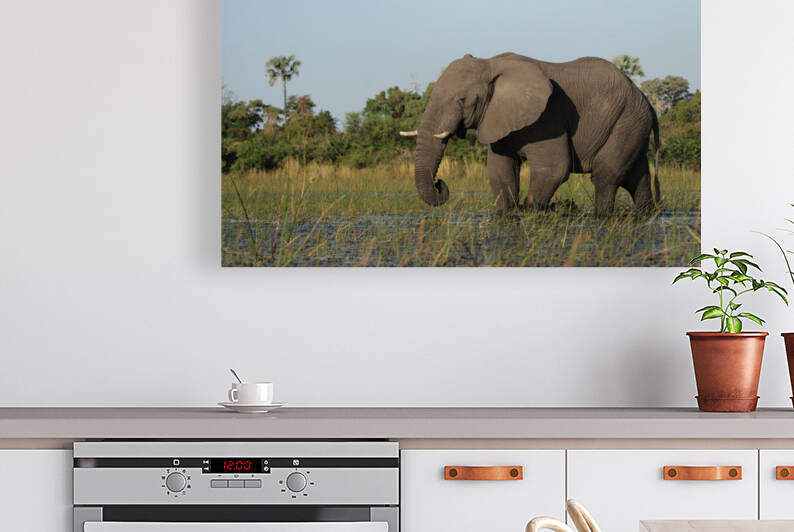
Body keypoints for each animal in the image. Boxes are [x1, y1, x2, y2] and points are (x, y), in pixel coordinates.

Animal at [399, 53, 660, 215]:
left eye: (462, 99)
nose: (440, 183)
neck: (490, 63)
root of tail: (646, 100)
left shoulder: (548, 115)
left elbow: (553, 169)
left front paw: (532, 212)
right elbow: (500, 173)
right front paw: (508, 215)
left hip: (627, 120)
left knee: (605, 175)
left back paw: (602, 216)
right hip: (632, 123)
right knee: (636, 177)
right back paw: (645, 214)